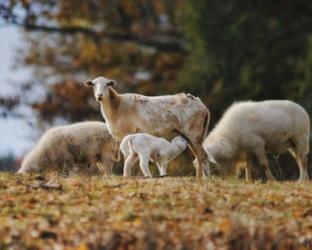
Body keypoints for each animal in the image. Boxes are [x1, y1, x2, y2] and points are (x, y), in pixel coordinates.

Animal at [84, 75, 212, 178]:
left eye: (107, 84)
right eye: (93, 84)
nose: (99, 96)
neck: (117, 107)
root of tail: (203, 107)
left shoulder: (128, 132)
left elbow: (127, 157)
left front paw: (128, 175)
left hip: (193, 132)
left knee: (203, 155)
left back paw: (206, 179)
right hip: (189, 135)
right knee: (199, 157)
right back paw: (199, 178)